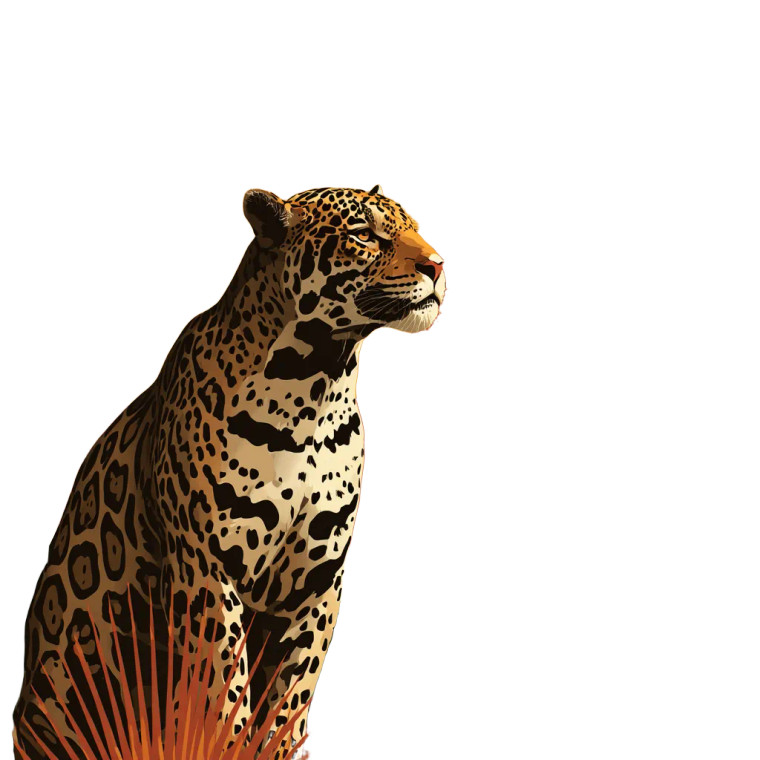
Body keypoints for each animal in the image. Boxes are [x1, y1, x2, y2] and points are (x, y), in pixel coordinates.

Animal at [12, 184, 445, 759]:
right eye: (364, 235)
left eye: (415, 227)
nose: (439, 265)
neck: (317, 385)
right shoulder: (207, 567)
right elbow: (223, 689)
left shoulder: (317, 582)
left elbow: (291, 692)